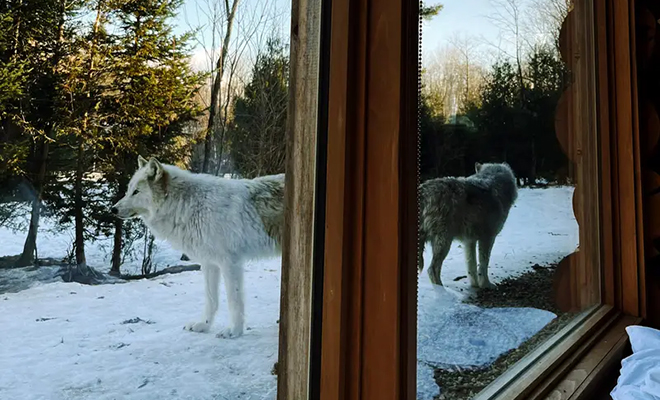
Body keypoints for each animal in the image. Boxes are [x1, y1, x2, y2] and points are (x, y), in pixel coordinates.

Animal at [110, 155, 284, 338]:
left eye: (136, 191)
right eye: (129, 190)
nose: (113, 209)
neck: (188, 205)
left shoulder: (230, 263)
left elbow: (234, 301)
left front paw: (234, 331)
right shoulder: (209, 263)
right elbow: (211, 299)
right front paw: (204, 325)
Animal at [420, 161, 520, 290]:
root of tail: (424, 192)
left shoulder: (469, 241)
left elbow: (471, 265)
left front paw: (475, 285)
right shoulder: (487, 238)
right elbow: (483, 264)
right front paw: (486, 284)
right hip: (444, 241)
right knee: (432, 269)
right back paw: (442, 291)